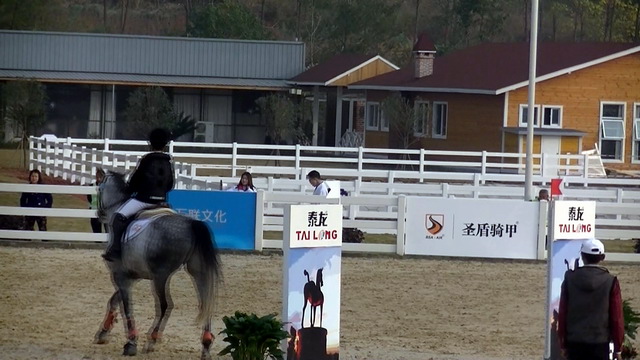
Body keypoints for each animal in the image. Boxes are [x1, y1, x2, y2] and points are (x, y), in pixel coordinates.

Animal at [92, 173, 222, 358]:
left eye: (99, 188)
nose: (99, 214)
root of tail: (191, 224)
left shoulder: (120, 276)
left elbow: (126, 307)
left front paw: (131, 343)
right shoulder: (132, 276)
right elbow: (114, 301)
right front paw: (103, 332)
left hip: (161, 276)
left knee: (165, 305)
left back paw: (152, 340)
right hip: (198, 272)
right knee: (206, 303)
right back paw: (206, 345)